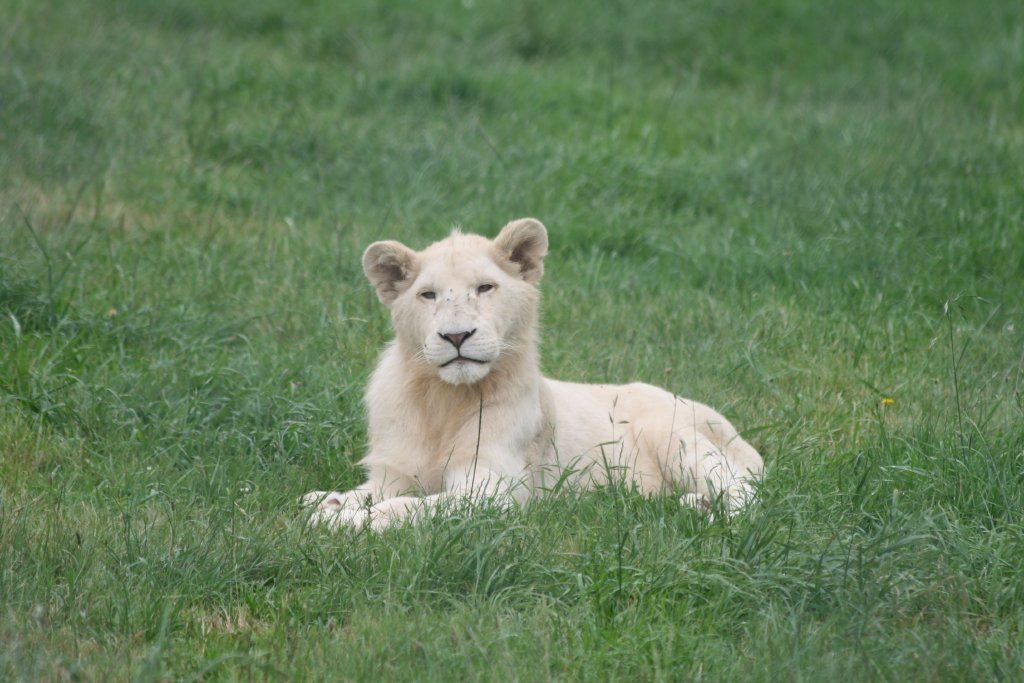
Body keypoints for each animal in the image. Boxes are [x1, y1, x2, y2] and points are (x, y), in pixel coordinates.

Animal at [303, 218, 763, 530]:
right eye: (427, 295)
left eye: (485, 288)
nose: (456, 336)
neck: (442, 401)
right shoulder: (394, 473)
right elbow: (369, 494)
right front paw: (330, 501)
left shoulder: (493, 491)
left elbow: (412, 507)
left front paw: (344, 522)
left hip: (676, 436)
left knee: (745, 491)